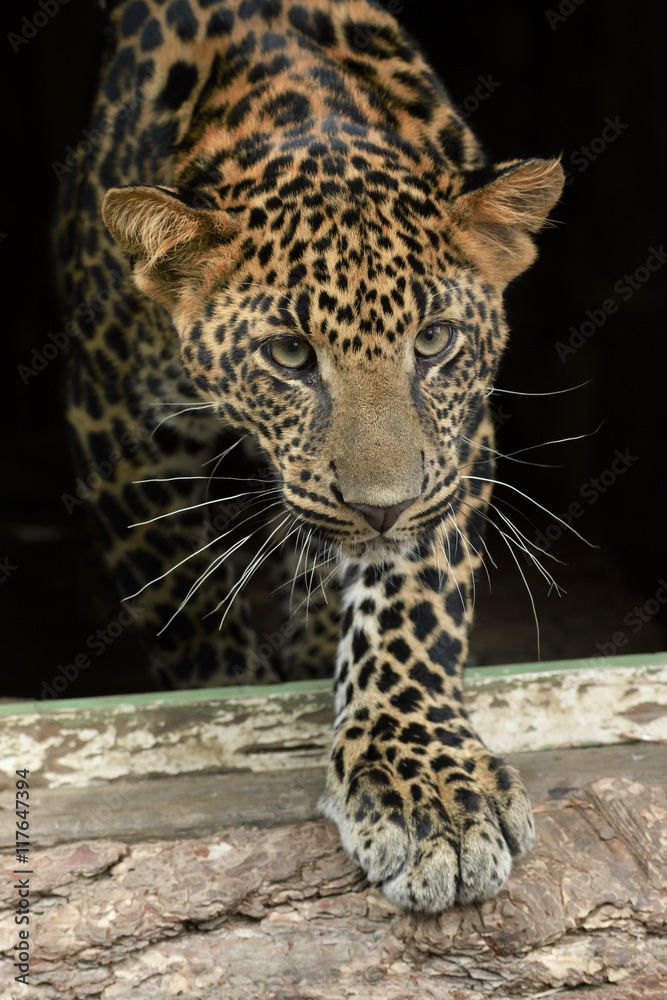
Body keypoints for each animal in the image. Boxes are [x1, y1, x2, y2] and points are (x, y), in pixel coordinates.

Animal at [53, 0, 564, 913]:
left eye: (433, 341)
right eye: (289, 355)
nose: (380, 508)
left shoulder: (453, 444)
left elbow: (412, 603)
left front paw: (428, 792)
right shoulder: (116, 433)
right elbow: (185, 606)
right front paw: (229, 694)